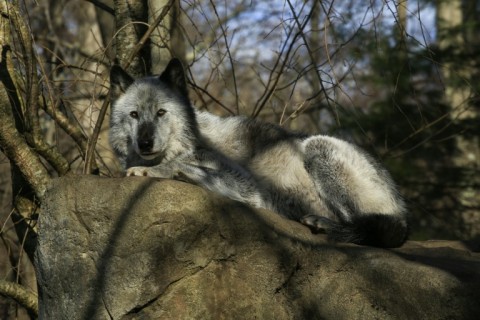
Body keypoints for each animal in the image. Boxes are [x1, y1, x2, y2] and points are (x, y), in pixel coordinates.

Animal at [109, 58, 408, 248]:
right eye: (134, 115)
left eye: (161, 112)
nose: (145, 143)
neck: (192, 141)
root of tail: (403, 206)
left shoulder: (252, 189)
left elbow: (182, 166)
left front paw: (154, 170)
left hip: (318, 147)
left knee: (364, 226)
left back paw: (324, 224)